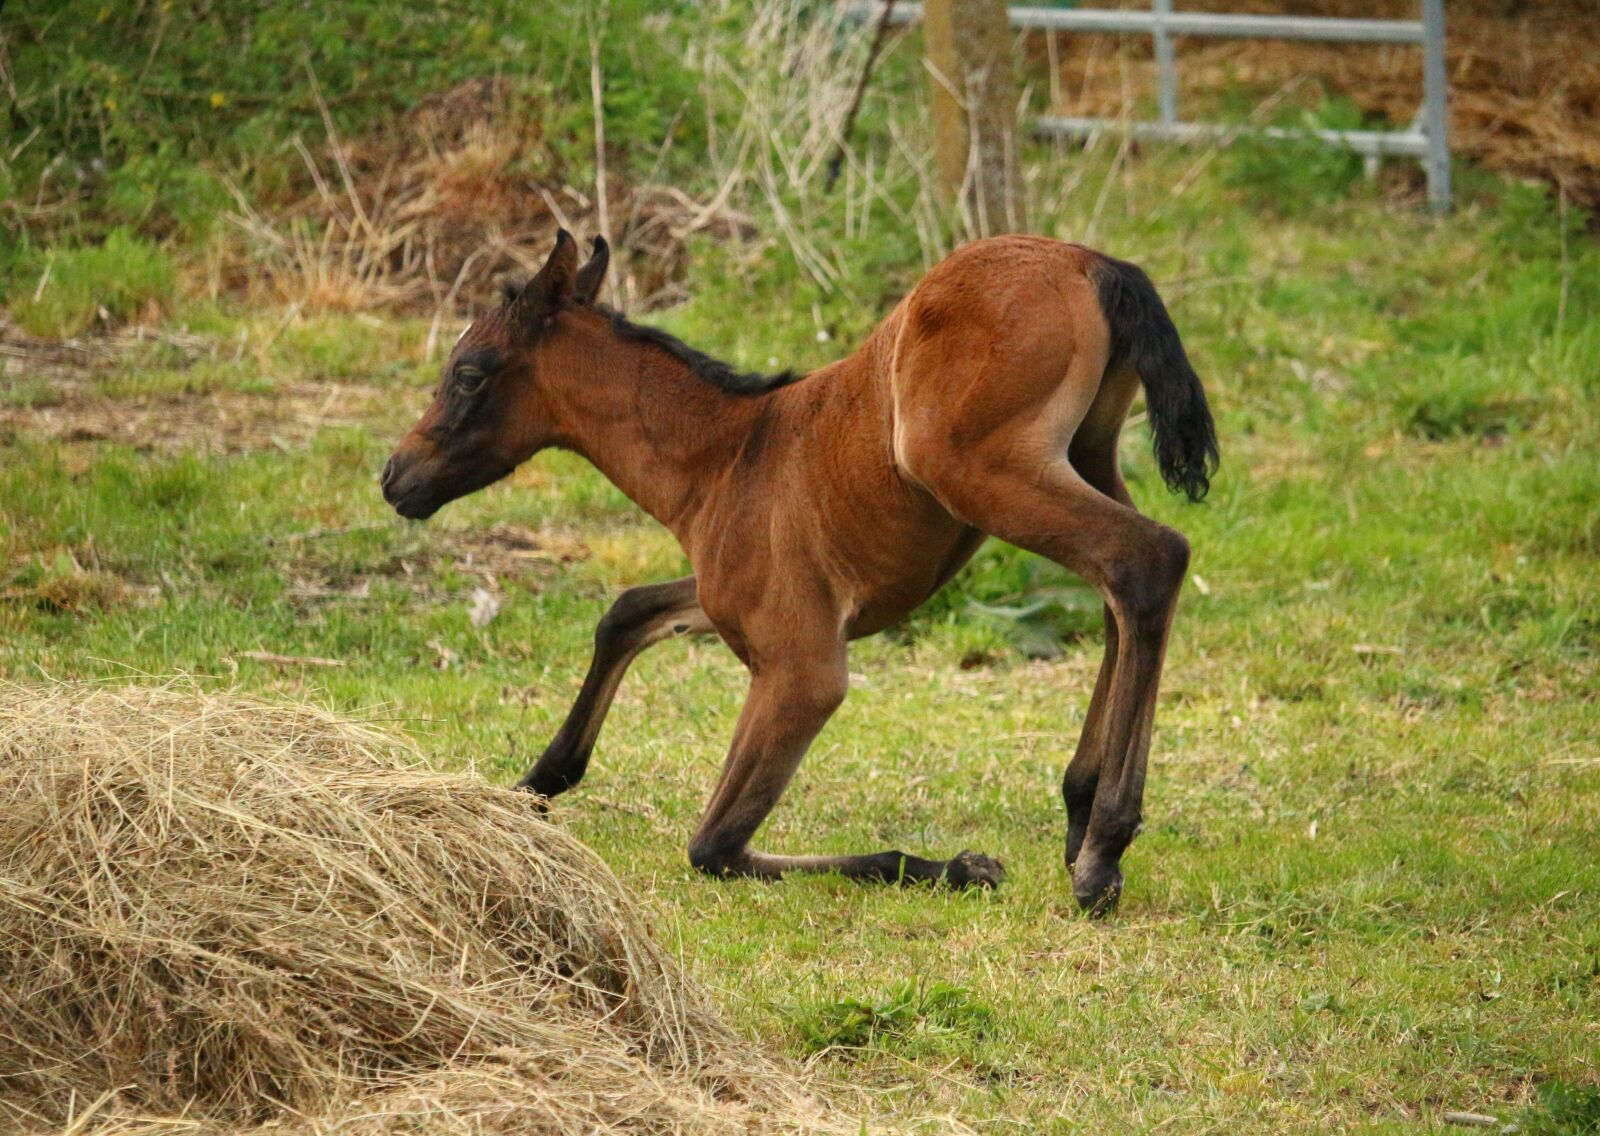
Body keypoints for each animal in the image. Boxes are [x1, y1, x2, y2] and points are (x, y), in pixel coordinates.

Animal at [382, 230, 1217, 913]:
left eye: (468, 372)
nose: (395, 477)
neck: (724, 459)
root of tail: (1095, 262)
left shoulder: (801, 667)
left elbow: (714, 845)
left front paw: (956, 866)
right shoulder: (729, 602)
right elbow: (629, 610)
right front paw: (529, 787)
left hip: (982, 471)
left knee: (1147, 558)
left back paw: (1102, 851)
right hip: (1085, 455)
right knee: (1122, 591)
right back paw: (1080, 813)